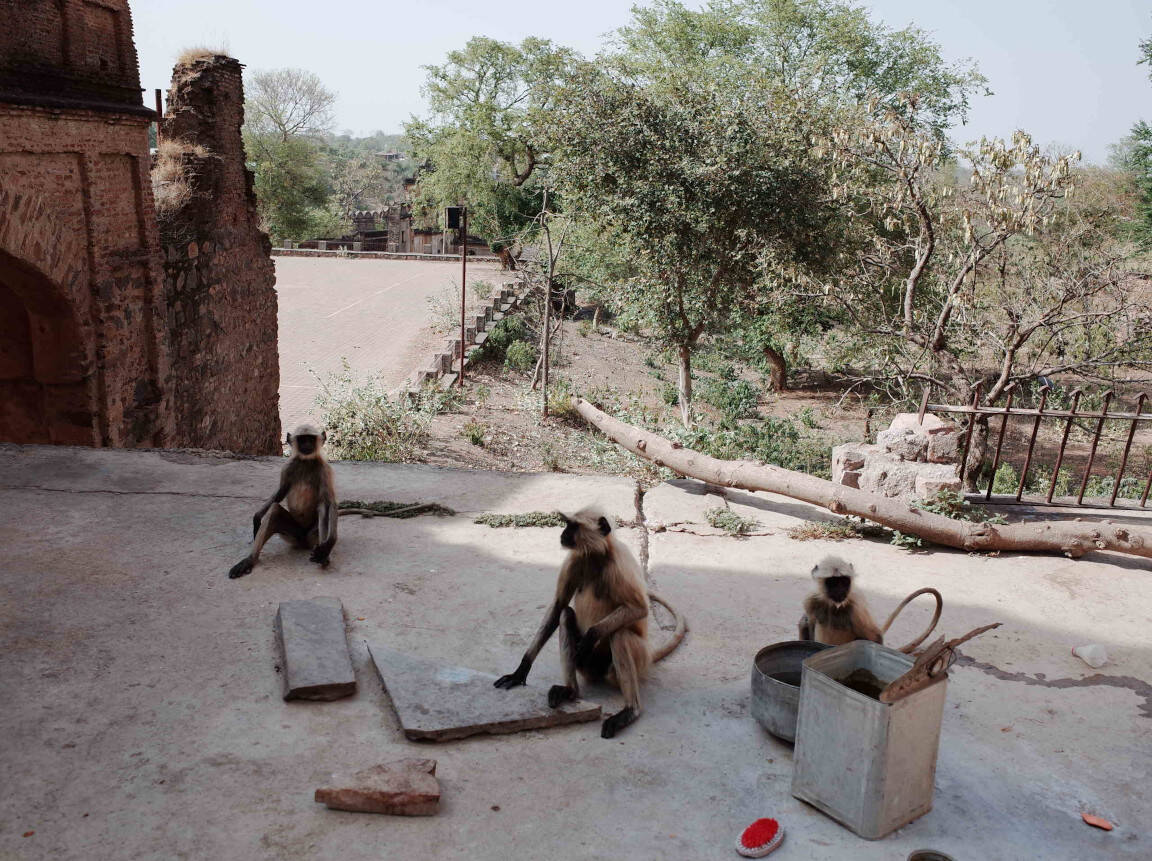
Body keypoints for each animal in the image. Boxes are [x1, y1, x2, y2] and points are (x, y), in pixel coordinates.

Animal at [228, 424, 336, 578]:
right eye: (302, 440)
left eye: (310, 439)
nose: (307, 445)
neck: (306, 461)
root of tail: (303, 541)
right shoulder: (287, 467)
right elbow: (280, 492)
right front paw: (257, 517)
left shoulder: (325, 469)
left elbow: (330, 502)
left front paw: (329, 544)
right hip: (292, 535)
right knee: (274, 510)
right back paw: (250, 560)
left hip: (312, 536)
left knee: (323, 508)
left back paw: (323, 555)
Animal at [495, 509, 681, 737]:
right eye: (567, 524)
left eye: (573, 526)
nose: (563, 533)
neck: (596, 555)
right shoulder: (574, 560)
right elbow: (558, 607)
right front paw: (521, 670)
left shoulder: (619, 565)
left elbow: (639, 609)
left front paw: (591, 636)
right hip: (588, 668)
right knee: (566, 615)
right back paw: (570, 691)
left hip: (635, 661)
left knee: (619, 634)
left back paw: (630, 710)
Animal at [797, 560, 940, 654]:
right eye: (833, 583)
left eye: (844, 582)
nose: (840, 591)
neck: (834, 606)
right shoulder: (811, 600)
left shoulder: (857, 607)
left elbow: (875, 639)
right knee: (804, 622)